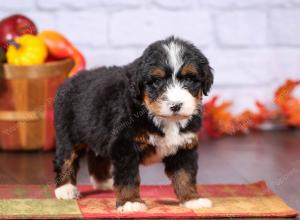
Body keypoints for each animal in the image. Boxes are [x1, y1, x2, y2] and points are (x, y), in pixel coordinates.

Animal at [53, 35, 213, 211]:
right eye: (157, 81)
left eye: (190, 79)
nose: (176, 105)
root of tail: (70, 80)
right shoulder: (124, 144)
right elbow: (127, 176)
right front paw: (130, 201)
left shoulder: (184, 146)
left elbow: (185, 175)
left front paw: (192, 199)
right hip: (68, 133)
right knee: (66, 158)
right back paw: (66, 189)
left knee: (97, 156)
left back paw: (103, 182)